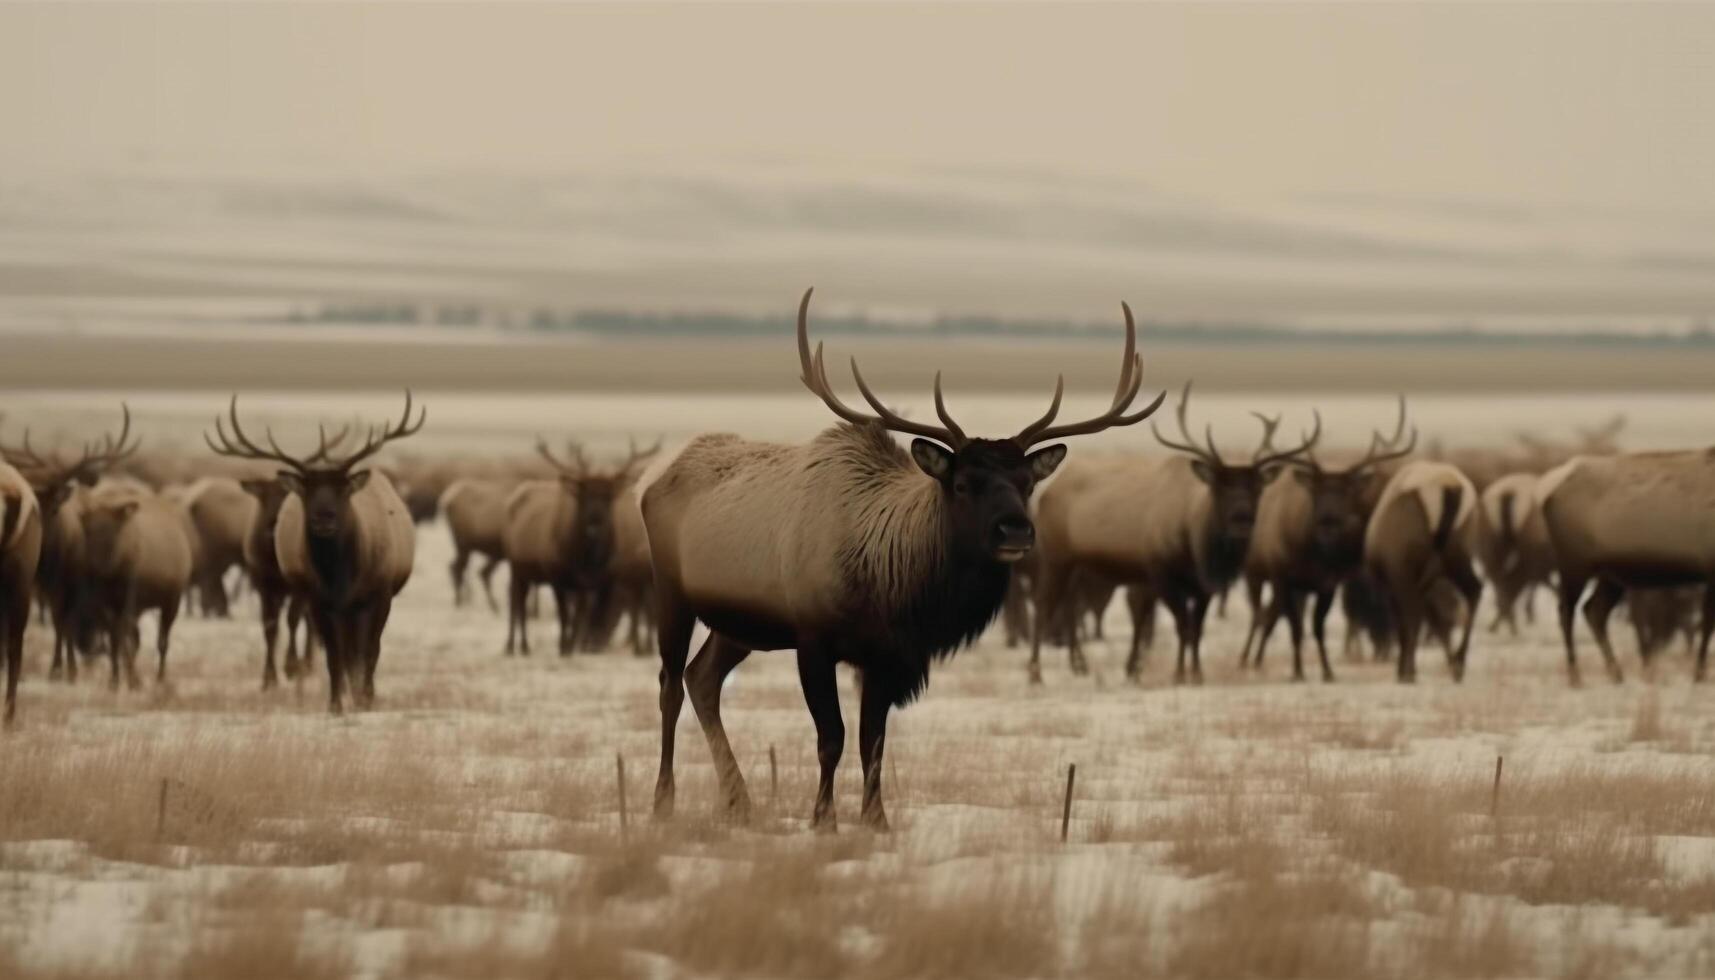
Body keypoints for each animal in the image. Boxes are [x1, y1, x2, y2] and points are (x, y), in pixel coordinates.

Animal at [206, 394, 421, 710]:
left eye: (343, 488)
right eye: (306, 489)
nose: (324, 518)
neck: (341, 576)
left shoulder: (379, 594)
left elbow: (371, 650)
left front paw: (366, 698)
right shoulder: (317, 599)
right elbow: (333, 655)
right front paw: (335, 704)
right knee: (339, 648)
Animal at [644, 290, 1166, 827]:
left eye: (1027, 483)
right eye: (962, 483)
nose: (1015, 530)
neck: (893, 587)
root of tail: (656, 480)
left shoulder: (889, 654)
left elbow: (873, 741)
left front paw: (876, 821)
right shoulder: (813, 638)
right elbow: (831, 738)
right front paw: (823, 820)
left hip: (739, 625)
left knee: (703, 679)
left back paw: (738, 800)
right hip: (672, 592)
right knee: (671, 686)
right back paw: (663, 800)